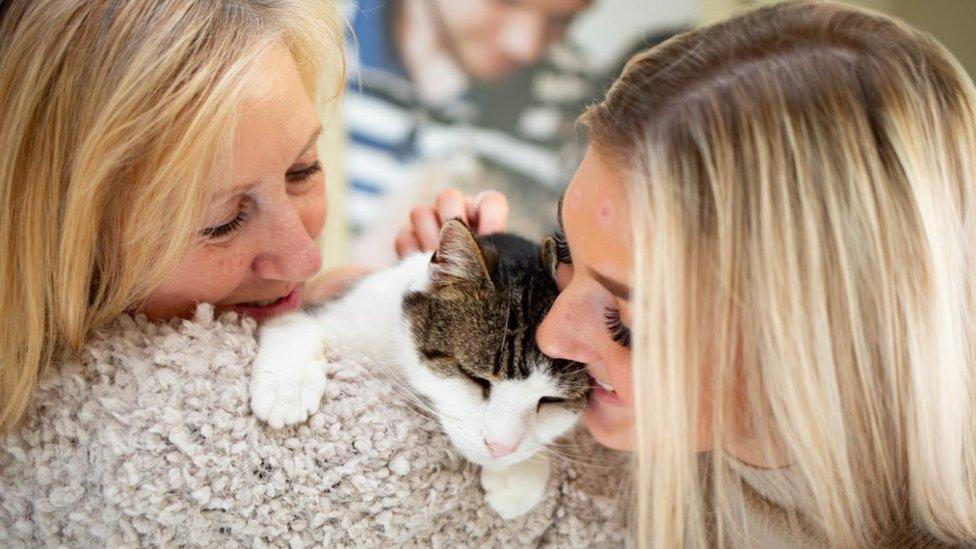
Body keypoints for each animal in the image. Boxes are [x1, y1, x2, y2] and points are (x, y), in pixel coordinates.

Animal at [250, 218, 588, 520]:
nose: (500, 447)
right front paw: (286, 389)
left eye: (552, 400)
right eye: (475, 378)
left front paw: (520, 472)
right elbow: (295, 323)